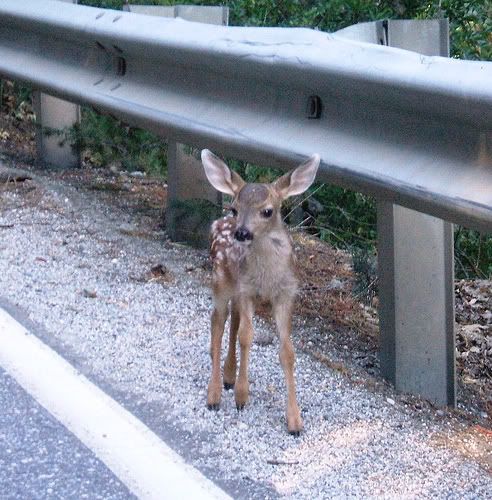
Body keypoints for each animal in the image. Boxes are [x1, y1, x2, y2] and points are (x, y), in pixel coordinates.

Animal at [202, 150, 320, 436]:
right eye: (235, 208)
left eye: (268, 211)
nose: (242, 233)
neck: (267, 278)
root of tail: (218, 222)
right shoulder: (247, 288)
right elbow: (247, 336)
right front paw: (242, 397)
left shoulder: (286, 294)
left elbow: (287, 351)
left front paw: (295, 421)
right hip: (221, 280)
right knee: (218, 321)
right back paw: (214, 393)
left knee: (231, 320)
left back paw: (229, 376)